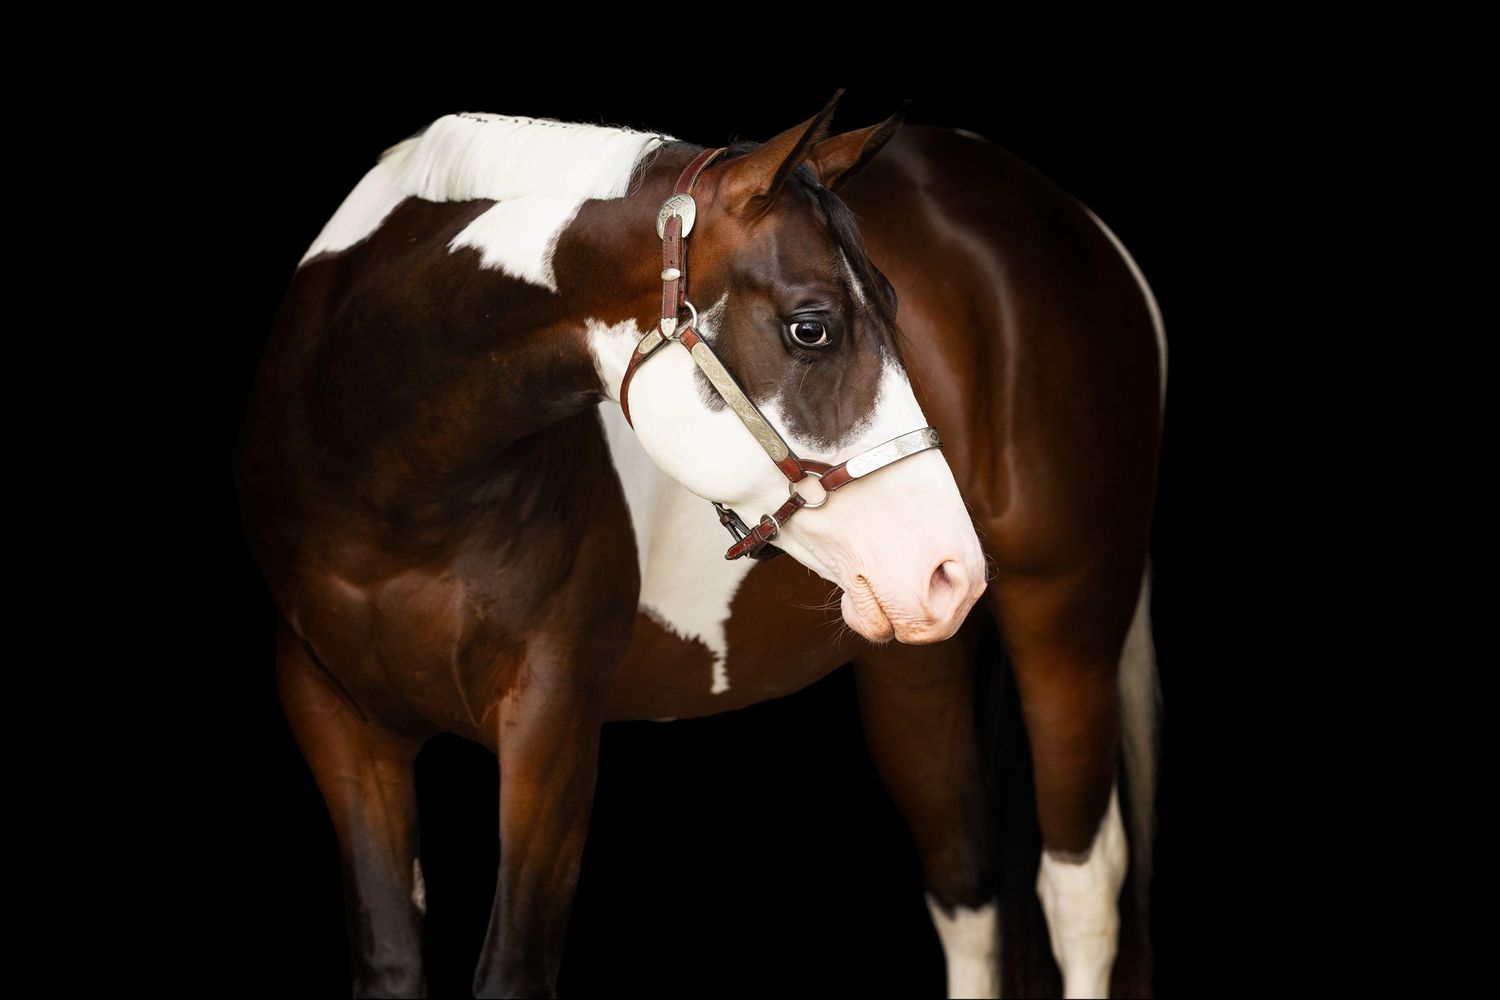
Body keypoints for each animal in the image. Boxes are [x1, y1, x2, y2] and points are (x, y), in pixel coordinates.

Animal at [235, 94, 1163, 998]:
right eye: (812, 328)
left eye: (893, 312)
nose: (952, 569)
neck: (389, 484)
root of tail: (1066, 214)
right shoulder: (337, 724)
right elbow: (389, 961)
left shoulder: (551, 720)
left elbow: (513, 969)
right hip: (914, 664)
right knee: (964, 887)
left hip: (1066, 621)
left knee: (1080, 889)